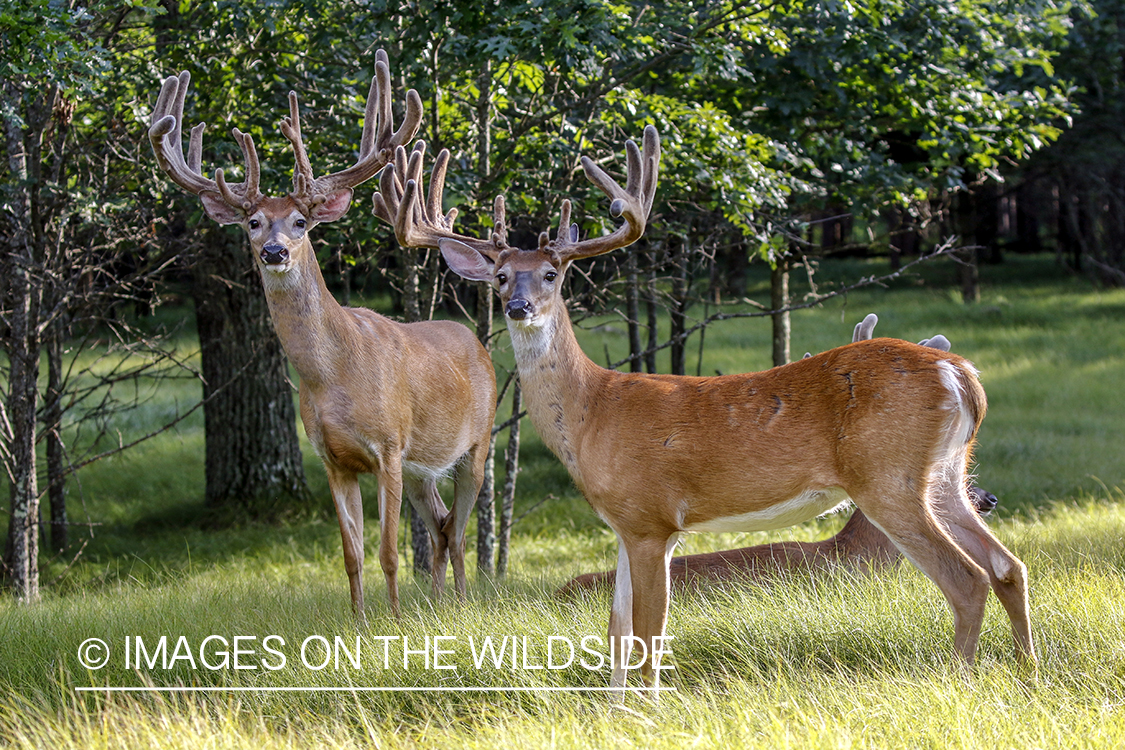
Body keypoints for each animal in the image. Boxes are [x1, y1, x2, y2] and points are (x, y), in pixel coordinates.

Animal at [149, 52, 497, 620]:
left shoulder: (389, 447)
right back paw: (440, 604)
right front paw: (358, 622)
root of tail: (475, 342)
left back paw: (463, 605)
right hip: (424, 468)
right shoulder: (333, 459)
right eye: (252, 222)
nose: (274, 252)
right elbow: (351, 553)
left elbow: (388, 552)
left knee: (461, 528)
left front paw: (392, 621)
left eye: (299, 221)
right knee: (442, 526)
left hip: (476, 446)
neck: (333, 376)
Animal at [373, 124, 1030, 692]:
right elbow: (615, 631)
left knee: (967, 579)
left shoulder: (653, 518)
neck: (591, 414)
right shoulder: (623, 522)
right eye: (502, 275)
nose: (517, 306)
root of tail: (960, 373)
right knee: (1008, 567)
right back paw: (1028, 672)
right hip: (945, 474)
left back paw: (959, 681)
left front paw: (649, 710)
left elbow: (648, 632)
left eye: (553, 273)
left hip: (886, 475)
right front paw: (616, 712)